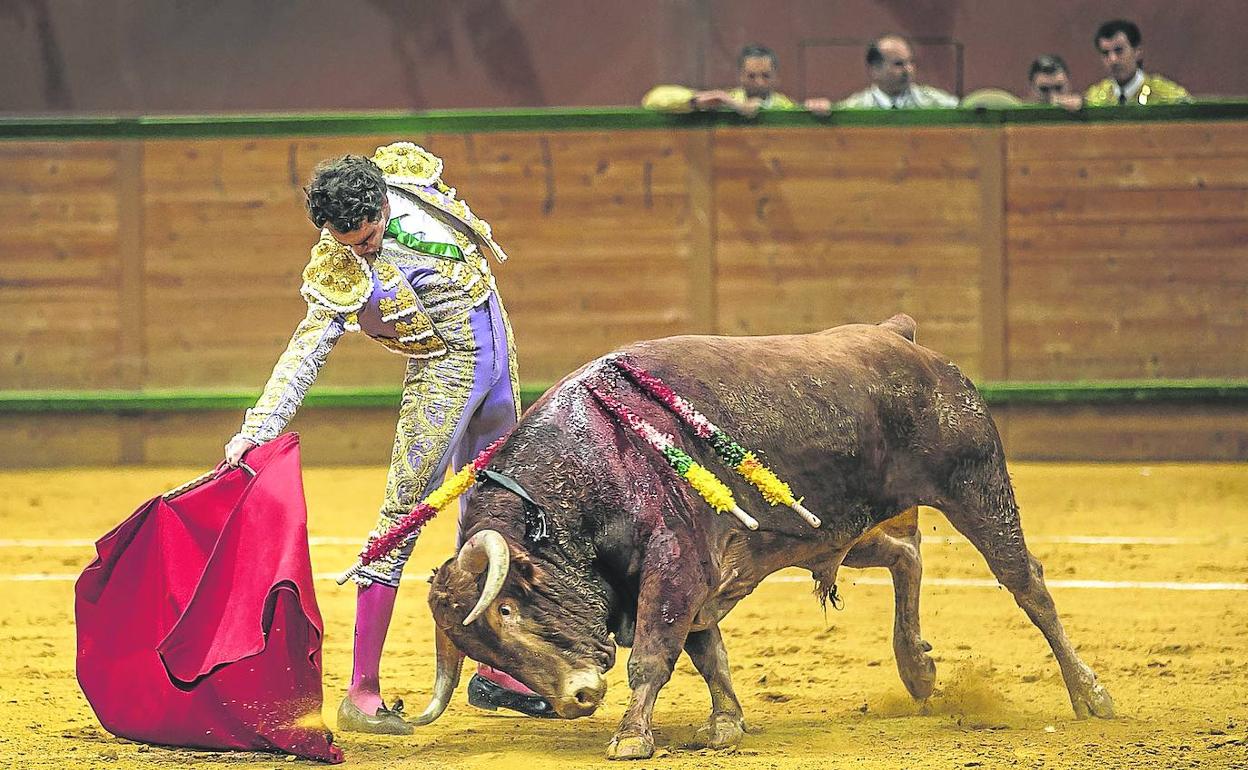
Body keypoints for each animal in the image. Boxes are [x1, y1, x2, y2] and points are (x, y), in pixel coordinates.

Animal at [414, 315, 1118, 758]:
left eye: (507, 609)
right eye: (480, 644)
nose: (577, 699)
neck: (593, 467)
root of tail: (901, 338)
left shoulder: (674, 566)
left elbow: (655, 653)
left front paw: (631, 736)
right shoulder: (697, 574)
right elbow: (709, 653)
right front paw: (725, 725)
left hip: (977, 486)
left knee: (1027, 585)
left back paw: (1090, 695)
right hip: (836, 531)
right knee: (904, 553)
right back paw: (916, 670)